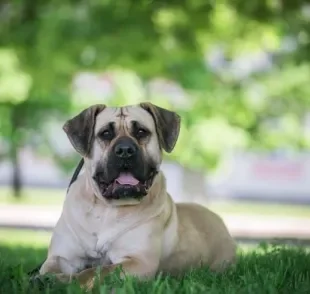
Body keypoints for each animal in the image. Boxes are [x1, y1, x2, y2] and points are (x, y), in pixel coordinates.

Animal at [37, 103, 236, 290]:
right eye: (106, 133)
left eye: (141, 132)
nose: (125, 149)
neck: (107, 209)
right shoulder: (62, 256)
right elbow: (51, 268)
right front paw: (46, 279)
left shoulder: (138, 262)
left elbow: (96, 271)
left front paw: (66, 282)